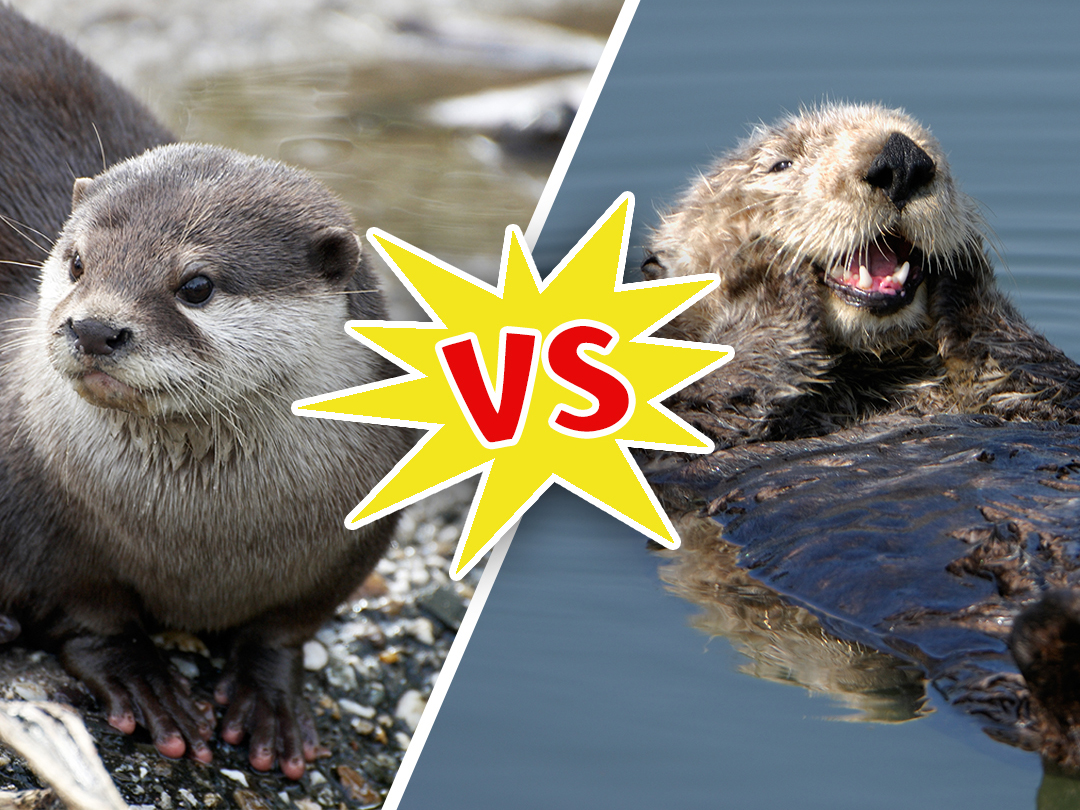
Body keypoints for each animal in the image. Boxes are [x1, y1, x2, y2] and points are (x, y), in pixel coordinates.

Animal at [0, 6, 410, 781]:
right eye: (77, 261)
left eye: (196, 285)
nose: (93, 327)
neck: (203, 540)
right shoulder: (37, 520)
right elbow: (87, 613)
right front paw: (143, 680)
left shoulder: (352, 544)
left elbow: (288, 626)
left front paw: (268, 696)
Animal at [642, 103, 1080, 446]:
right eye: (780, 164)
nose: (902, 158)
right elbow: (709, 401)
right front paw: (756, 265)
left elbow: (1042, 372)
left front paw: (964, 256)